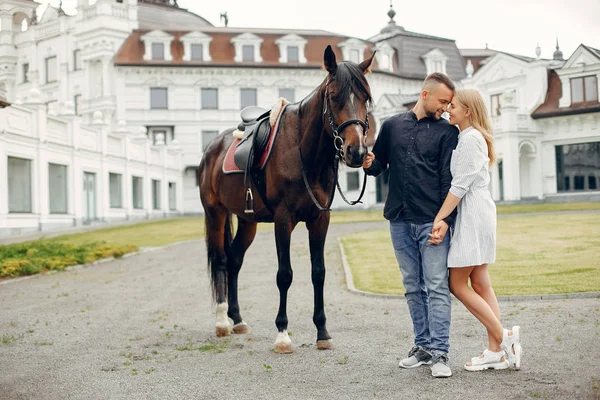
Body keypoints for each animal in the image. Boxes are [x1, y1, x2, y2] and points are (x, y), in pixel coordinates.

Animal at [199, 46, 372, 354]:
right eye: (333, 95)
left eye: (365, 98)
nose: (356, 151)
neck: (304, 152)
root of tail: (212, 148)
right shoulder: (283, 219)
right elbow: (285, 274)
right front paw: (282, 334)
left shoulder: (320, 219)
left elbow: (318, 272)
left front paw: (322, 332)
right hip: (214, 213)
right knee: (220, 260)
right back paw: (222, 322)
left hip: (247, 221)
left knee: (234, 260)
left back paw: (237, 318)